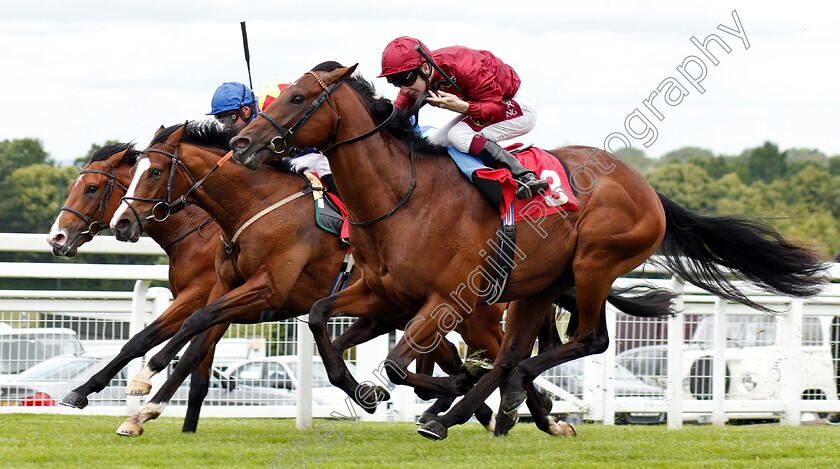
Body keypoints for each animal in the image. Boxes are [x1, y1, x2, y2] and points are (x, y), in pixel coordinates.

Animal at [47, 143, 221, 432]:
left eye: (91, 188)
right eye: (72, 186)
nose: (56, 238)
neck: (199, 233)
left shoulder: (199, 296)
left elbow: (150, 342)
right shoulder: (199, 302)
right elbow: (149, 346)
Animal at [230, 66, 828, 438]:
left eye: (299, 97)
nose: (242, 143)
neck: (403, 198)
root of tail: (646, 187)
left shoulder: (446, 300)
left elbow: (401, 366)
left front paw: (441, 388)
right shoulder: (382, 293)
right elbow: (320, 320)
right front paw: (371, 391)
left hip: (593, 264)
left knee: (585, 339)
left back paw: (492, 402)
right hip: (538, 285)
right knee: (516, 352)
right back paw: (476, 411)